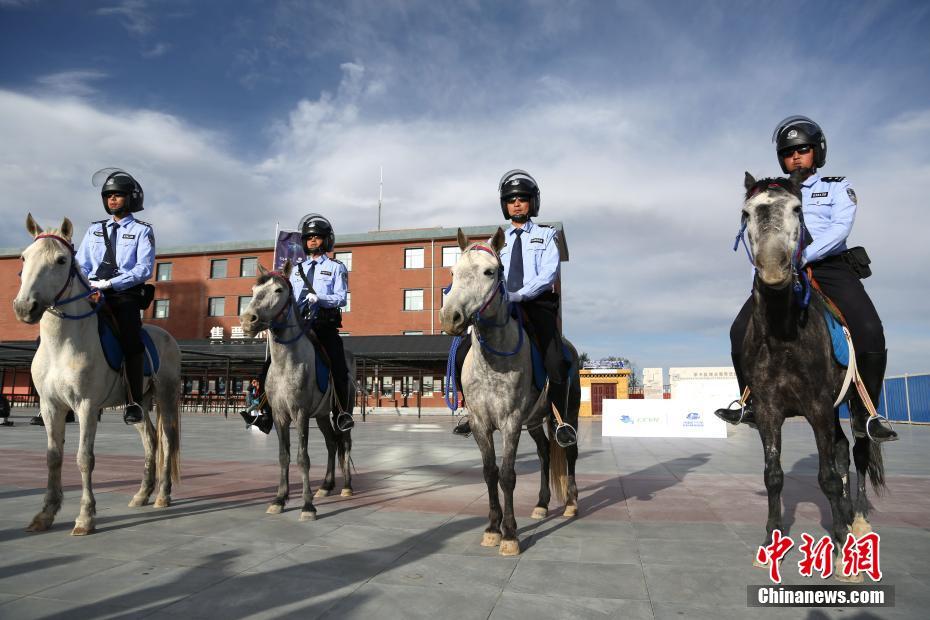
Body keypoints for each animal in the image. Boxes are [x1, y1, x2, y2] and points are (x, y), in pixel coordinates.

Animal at [11, 213, 181, 532]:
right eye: (24, 257)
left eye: (62, 260)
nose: (25, 307)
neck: (62, 344)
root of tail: (167, 336)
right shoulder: (50, 406)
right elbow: (53, 457)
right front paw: (46, 514)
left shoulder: (86, 406)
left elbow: (84, 458)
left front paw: (85, 516)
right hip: (139, 402)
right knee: (150, 440)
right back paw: (142, 494)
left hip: (167, 394)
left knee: (166, 440)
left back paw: (163, 496)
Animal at [237, 260, 354, 520]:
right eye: (252, 290)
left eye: (278, 290)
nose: (248, 320)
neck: (286, 362)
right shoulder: (280, 415)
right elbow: (284, 456)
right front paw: (279, 499)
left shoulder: (300, 413)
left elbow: (303, 457)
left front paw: (307, 505)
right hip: (321, 415)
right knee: (332, 442)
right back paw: (327, 485)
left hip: (343, 409)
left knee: (344, 441)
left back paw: (347, 486)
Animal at [736, 173, 880, 580]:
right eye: (747, 213)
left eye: (798, 209)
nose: (773, 270)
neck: (783, 332)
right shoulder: (769, 410)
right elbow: (773, 475)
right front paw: (771, 542)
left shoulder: (816, 405)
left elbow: (826, 476)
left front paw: (840, 546)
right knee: (841, 450)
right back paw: (844, 514)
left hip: (855, 404)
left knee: (859, 450)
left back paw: (857, 521)